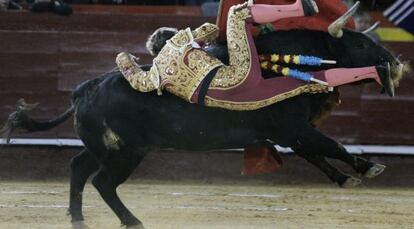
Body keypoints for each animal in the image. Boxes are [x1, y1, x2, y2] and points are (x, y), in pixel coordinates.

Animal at [0, 29, 402, 227]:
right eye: (362, 42)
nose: (395, 61)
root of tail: (86, 87)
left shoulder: (290, 133)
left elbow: (319, 155)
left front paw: (347, 178)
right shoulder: (292, 128)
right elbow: (333, 146)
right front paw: (369, 166)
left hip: (106, 147)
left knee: (79, 167)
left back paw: (79, 220)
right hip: (127, 153)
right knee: (102, 182)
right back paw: (133, 222)